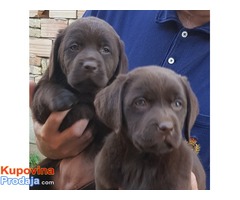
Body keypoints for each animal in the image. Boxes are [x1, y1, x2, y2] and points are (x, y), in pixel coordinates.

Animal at [30, 16, 127, 189]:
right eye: (74, 47)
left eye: (105, 50)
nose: (90, 66)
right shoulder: (41, 98)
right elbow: (46, 90)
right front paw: (67, 99)